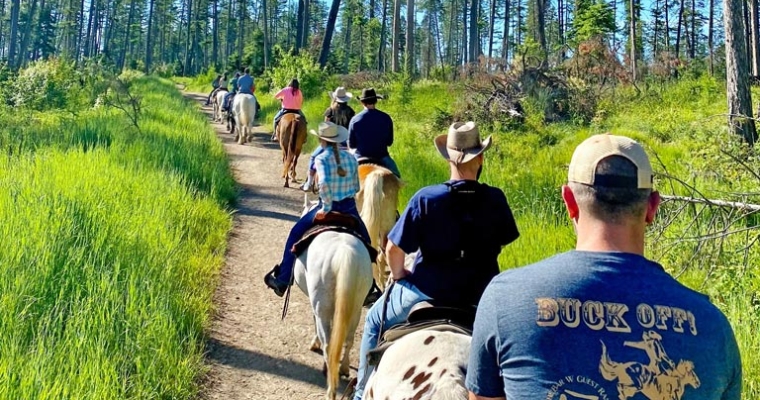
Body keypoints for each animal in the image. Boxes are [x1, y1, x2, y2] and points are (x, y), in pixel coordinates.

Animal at [294, 196, 374, 396]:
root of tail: (344, 253)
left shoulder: (316, 306)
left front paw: (314, 343)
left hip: (322, 307)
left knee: (329, 344)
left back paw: (330, 383)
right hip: (355, 308)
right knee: (348, 339)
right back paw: (343, 368)